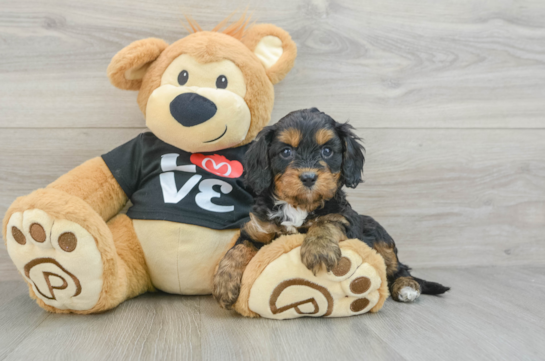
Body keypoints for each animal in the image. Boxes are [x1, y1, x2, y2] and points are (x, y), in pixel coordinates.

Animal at [210, 107, 448, 310]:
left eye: (326, 151)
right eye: (286, 152)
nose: (308, 177)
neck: (299, 205)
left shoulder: (344, 217)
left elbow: (327, 222)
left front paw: (319, 249)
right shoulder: (257, 229)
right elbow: (237, 250)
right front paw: (224, 283)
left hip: (379, 235)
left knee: (398, 268)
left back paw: (407, 287)